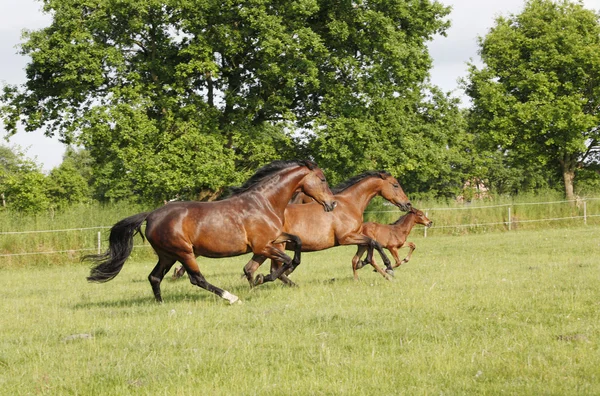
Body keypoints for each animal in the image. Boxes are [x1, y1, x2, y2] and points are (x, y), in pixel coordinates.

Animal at [83, 159, 338, 304]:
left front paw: (264, 278)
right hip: (184, 252)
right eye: (322, 179)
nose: (332, 203)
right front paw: (265, 278)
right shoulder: (263, 245)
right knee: (197, 278)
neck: (263, 202)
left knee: (155, 277)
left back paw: (161, 304)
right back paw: (231, 298)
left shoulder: (274, 239)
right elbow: (286, 260)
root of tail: (151, 215)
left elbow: (297, 245)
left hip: (167, 255)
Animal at [244, 170, 412, 284]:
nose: (408, 204)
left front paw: (364, 264)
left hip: (264, 249)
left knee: (250, 269)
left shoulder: (358, 236)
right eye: (395, 185)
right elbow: (374, 243)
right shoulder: (346, 238)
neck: (349, 204)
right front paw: (389, 267)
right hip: (277, 246)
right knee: (273, 270)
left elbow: (370, 245)